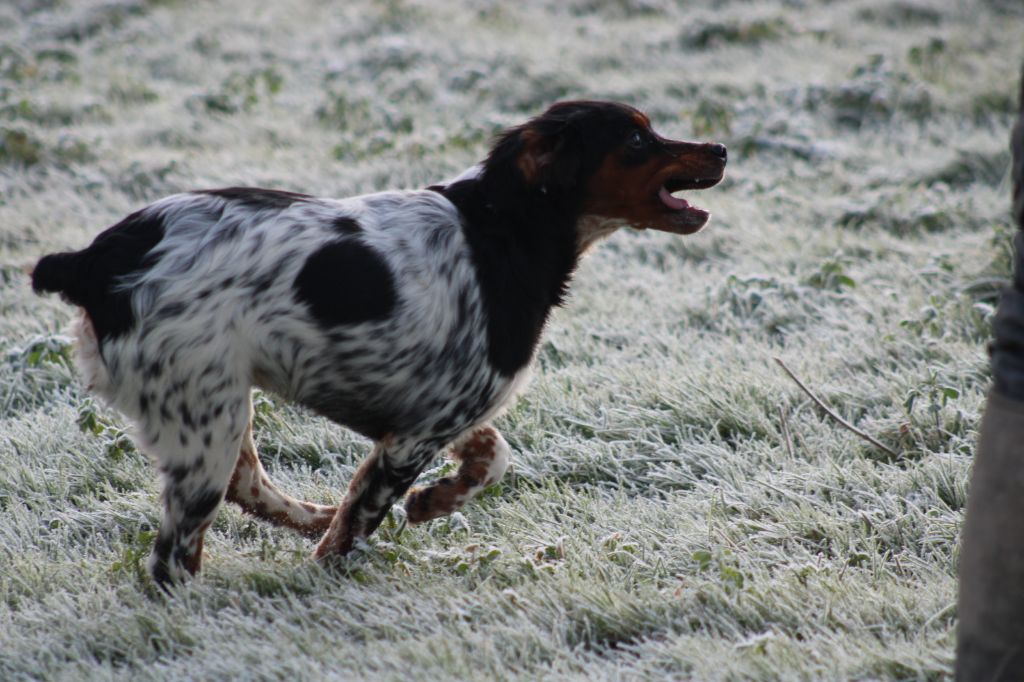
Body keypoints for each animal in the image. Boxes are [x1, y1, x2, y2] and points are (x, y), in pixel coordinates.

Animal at [31, 101, 726, 584]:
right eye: (637, 138)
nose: (719, 147)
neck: (501, 230)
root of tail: (93, 261)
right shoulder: (415, 432)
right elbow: (359, 523)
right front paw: (337, 563)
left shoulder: (420, 414)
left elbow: (491, 455)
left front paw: (432, 502)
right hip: (204, 423)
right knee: (172, 560)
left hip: (219, 407)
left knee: (246, 486)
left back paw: (309, 513)